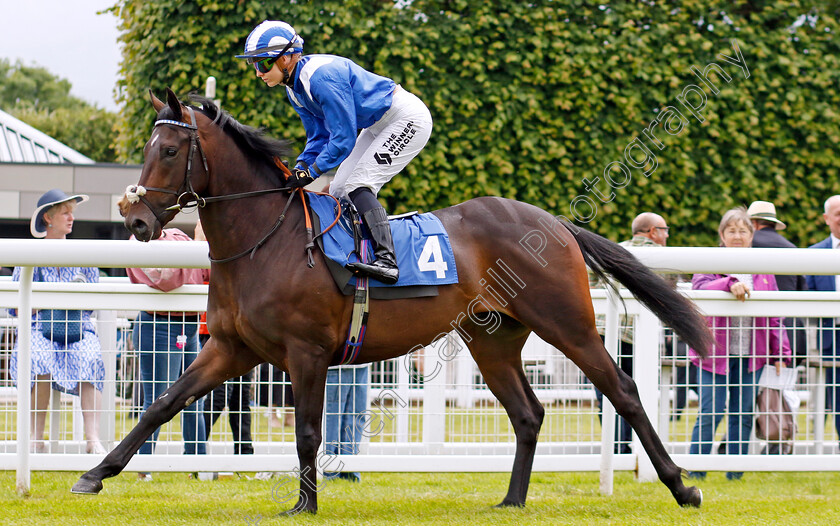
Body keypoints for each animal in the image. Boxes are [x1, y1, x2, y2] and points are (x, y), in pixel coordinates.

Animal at [72, 88, 708, 512]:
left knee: (622, 390)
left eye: (169, 150)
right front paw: (95, 475)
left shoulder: (306, 353)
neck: (266, 238)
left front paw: (304, 506)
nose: (135, 219)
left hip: (566, 322)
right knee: (528, 413)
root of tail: (553, 222)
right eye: (147, 146)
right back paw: (511, 501)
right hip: (493, 338)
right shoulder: (230, 348)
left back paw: (682, 486)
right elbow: (162, 405)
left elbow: (309, 432)